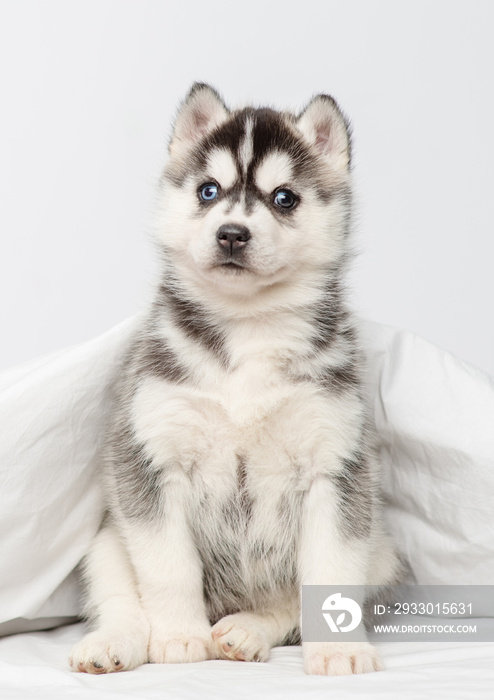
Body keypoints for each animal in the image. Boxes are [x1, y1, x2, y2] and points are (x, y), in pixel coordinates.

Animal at [69, 85, 402, 676]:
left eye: (284, 198)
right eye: (209, 190)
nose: (231, 233)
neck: (248, 329)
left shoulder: (337, 468)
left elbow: (329, 570)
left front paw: (338, 648)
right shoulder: (150, 460)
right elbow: (168, 567)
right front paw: (179, 637)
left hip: (381, 551)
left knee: (286, 605)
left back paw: (246, 630)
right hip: (105, 542)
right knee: (121, 596)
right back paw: (115, 643)